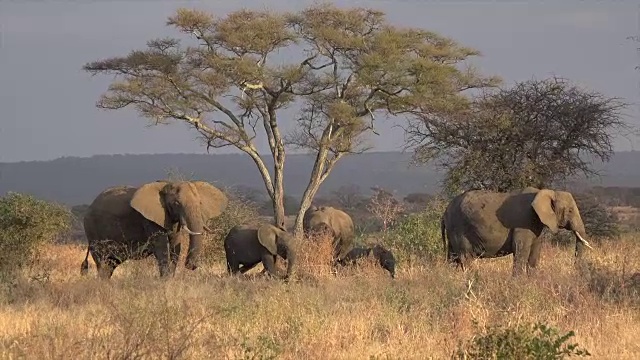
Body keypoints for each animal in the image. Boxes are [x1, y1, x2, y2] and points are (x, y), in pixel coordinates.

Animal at [81, 180, 229, 278]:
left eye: (200, 203)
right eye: (176, 203)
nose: (190, 266)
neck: (166, 185)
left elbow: (175, 247)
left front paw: (170, 280)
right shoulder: (149, 220)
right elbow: (162, 248)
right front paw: (165, 281)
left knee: (111, 263)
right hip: (92, 230)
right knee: (102, 262)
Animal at [440, 186, 596, 276]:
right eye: (570, 211)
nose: (575, 268)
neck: (547, 192)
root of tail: (445, 212)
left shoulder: (536, 223)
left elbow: (535, 252)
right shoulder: (523, 222)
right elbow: (521, 250)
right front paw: (518, 284)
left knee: (453, 257)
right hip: (459, 228)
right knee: (466, 257)